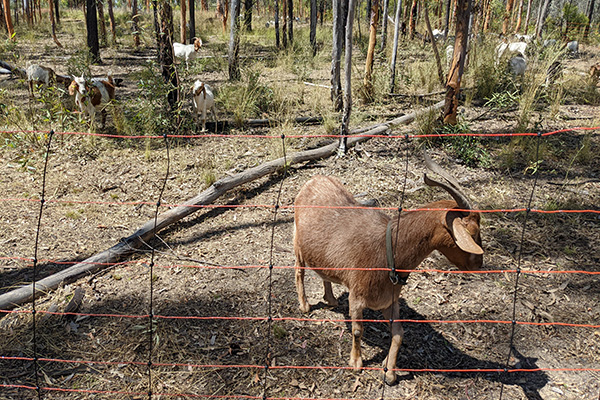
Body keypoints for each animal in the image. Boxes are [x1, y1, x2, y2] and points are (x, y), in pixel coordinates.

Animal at [292, 152, 486, 384]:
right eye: (473, 232)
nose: (479, 263)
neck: (389, 251)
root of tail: (313, 179)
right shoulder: (356, 297)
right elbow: (357, 330)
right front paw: (356, 363)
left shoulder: (389, 300)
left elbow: (399, 333)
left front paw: (390, 371)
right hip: (297, 240)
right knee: (299, 271)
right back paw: (304, 305)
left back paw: (330, 299)